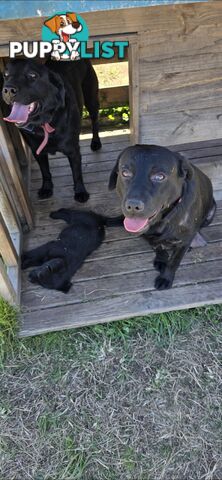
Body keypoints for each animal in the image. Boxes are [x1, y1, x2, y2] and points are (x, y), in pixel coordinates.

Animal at [1, 58, 101, 202]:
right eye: (6, 75)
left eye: (32, 75)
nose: (8, 89)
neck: (44, 123)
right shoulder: (37, 151)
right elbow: (45, 171)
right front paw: (46, 188)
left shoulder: (73, 150)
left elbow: (76, 173)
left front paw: (80, 191)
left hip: (91, 98)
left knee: (95, 119)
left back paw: (96, 142)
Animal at [108, 144, 216, 290]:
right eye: (125, 173)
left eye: (159, 176)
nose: (133, 206)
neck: (163, 220)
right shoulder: (149, 236)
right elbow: (157, 247)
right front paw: (161, 259)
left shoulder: (185, 240)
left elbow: (174, 262)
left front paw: (166, 277)